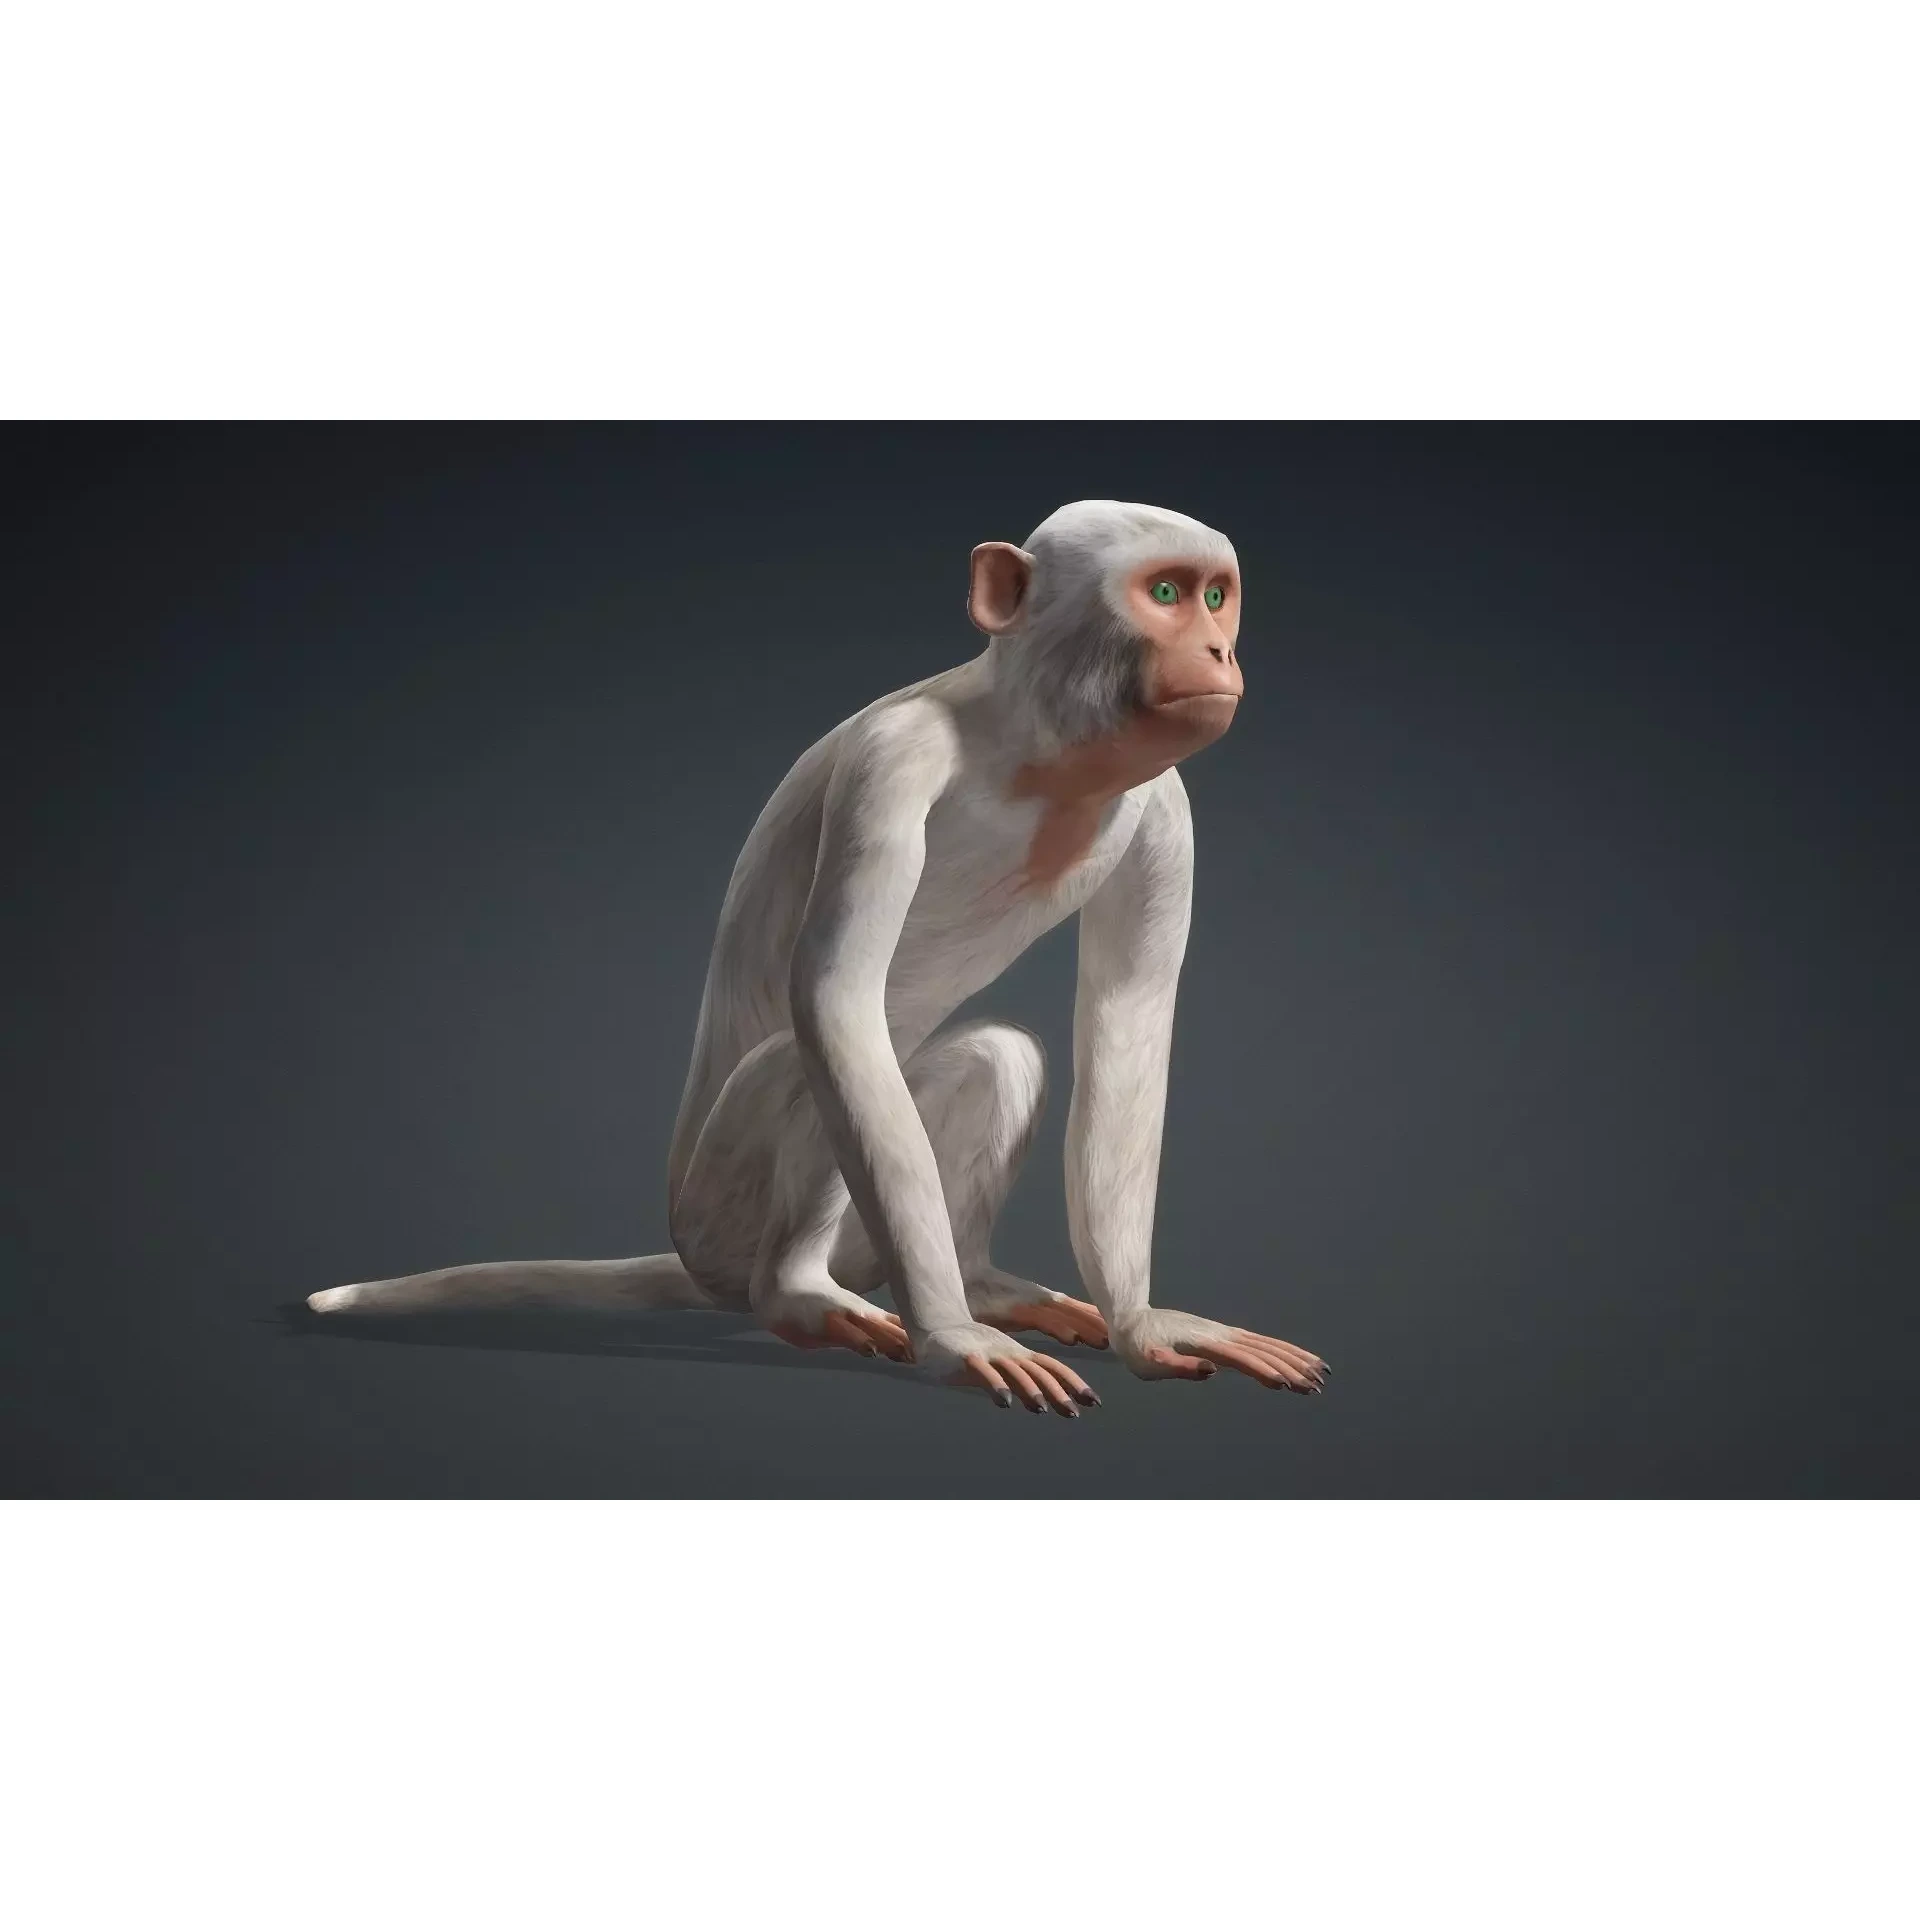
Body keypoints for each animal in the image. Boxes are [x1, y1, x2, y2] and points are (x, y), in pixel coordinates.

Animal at [308, 500, 1329, 1416]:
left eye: (1217, 597)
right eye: (1166, 594)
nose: (1220, 652)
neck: (1035, 757)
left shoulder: (1166, 810)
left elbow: (1128, 1021)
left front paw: (1144, 1325)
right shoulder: (893, 763)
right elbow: (833, 1002)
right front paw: (950, 1341)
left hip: (856, 1240)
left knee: (994, 1060)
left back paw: (978, 1284)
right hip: (720, 1219)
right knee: (799, 1061)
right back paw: (805, 1295)